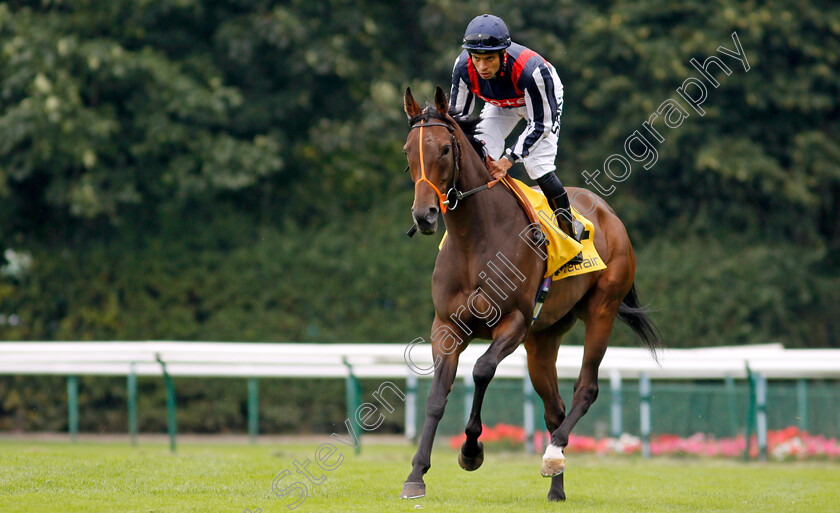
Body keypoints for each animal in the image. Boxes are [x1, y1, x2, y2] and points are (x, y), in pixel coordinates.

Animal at [400, 87, 664, 500]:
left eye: (444, 149)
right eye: (408, 151)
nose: (424, 215)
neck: (475, 239)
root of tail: (610, 215)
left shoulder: (515, 322)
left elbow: (482, 369)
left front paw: (471, 451)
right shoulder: (446, 327)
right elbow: (437, 397)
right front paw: (416, 475)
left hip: (601, 311)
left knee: (586, 389)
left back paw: (553, 454)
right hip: (544, 339)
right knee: (554, 407)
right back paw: (556, 488)